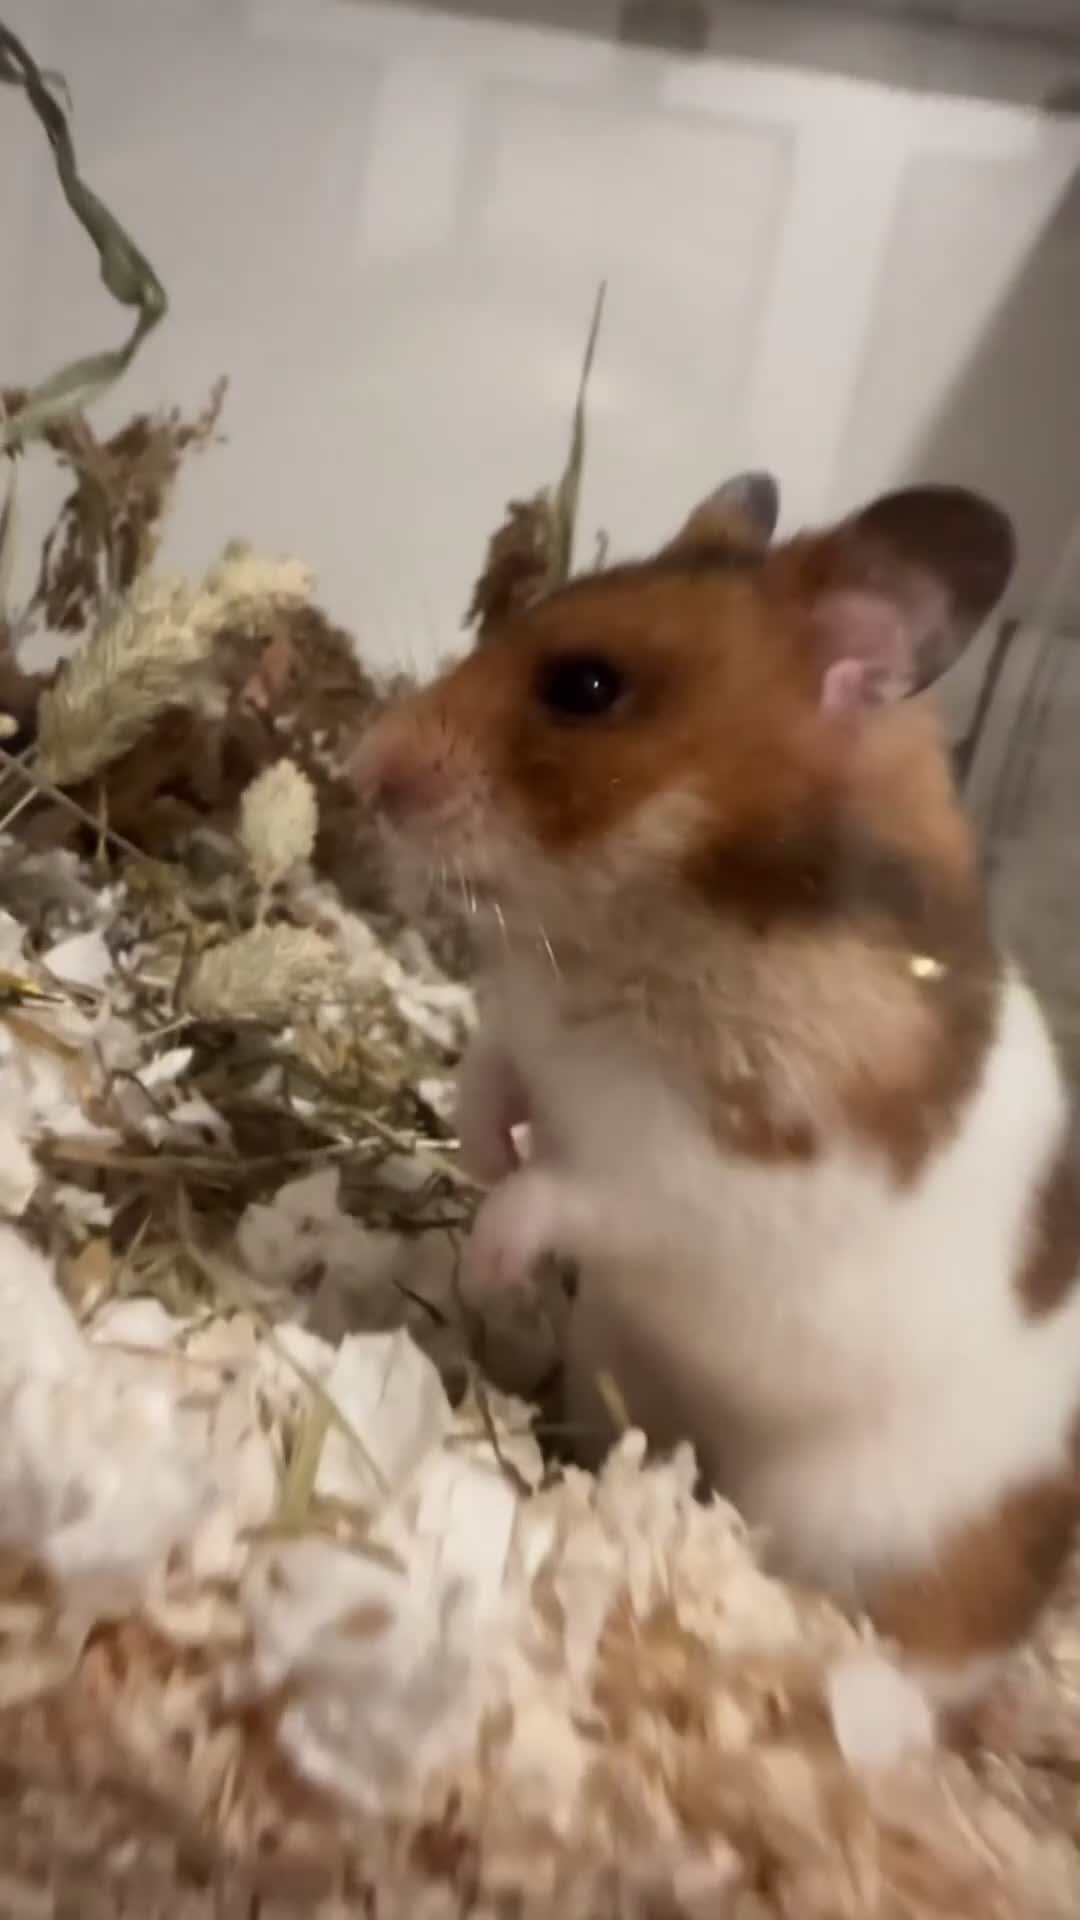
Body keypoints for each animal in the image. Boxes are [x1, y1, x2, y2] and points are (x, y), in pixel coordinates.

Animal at [353, 471, 1080, 1708]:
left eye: (586, 687)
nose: (365, 766)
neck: (650, 915)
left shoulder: (711, 1175)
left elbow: (564, 1193)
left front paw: (490, 1262)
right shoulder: (528, 1034)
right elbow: (490, 1081)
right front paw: (477, 1150)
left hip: (860, 1522)